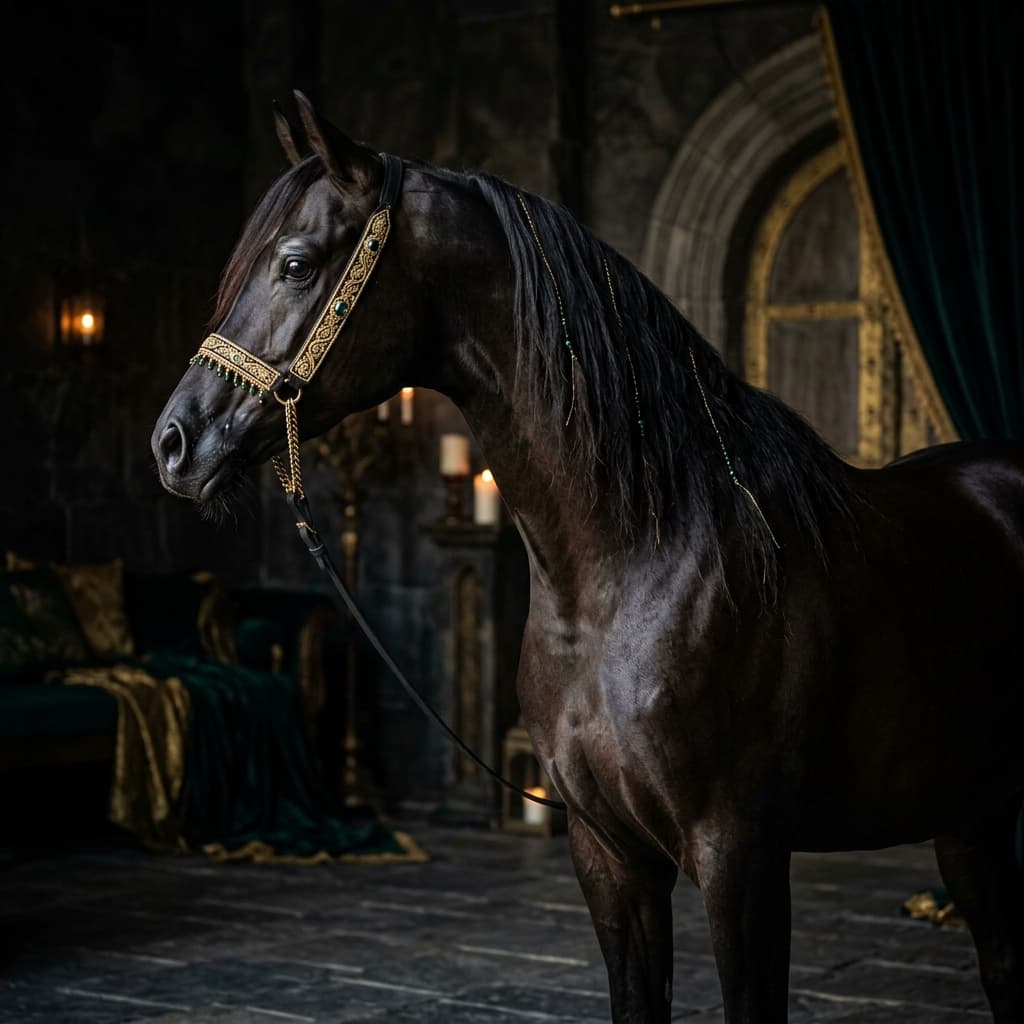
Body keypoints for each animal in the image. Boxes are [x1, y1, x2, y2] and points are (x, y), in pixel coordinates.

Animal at [152, 93, 1024, 1023]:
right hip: (971, 817)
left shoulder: (742, 854)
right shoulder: (608, 853)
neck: (636, 569)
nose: (174, 442)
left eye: (295, 263)